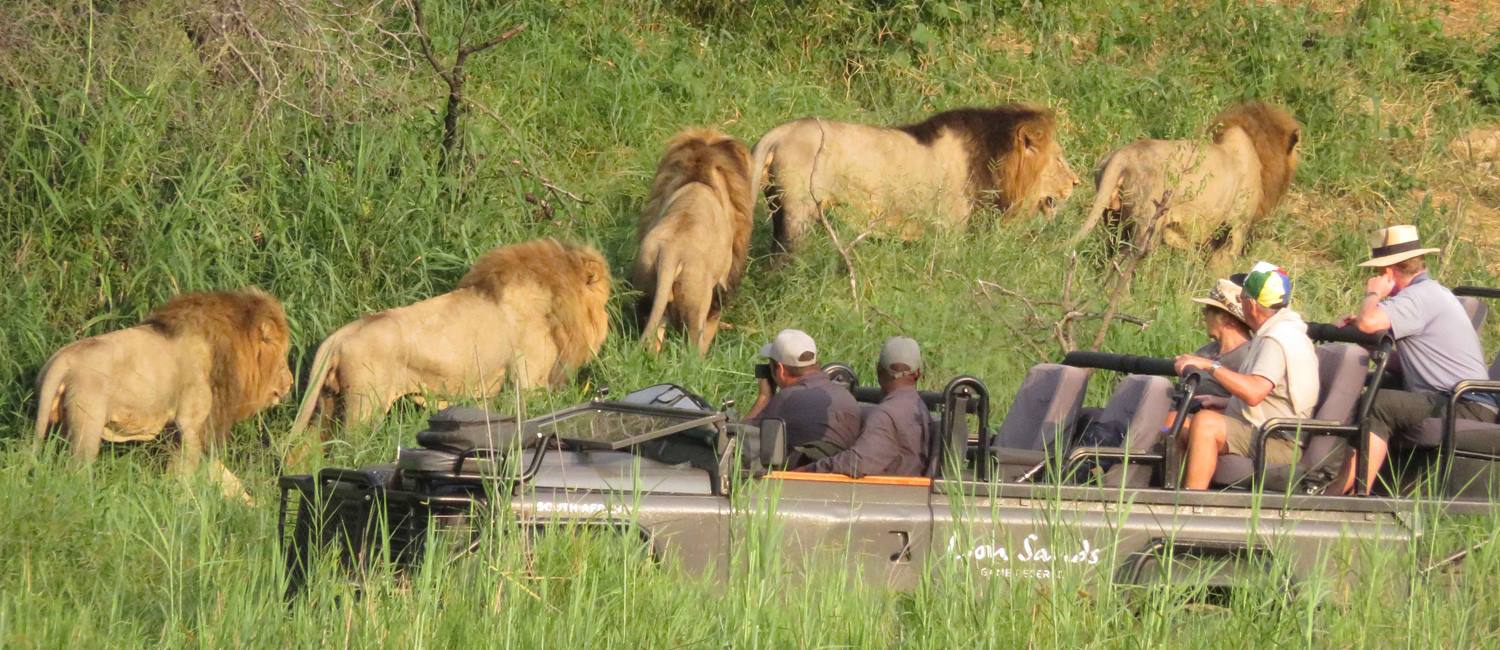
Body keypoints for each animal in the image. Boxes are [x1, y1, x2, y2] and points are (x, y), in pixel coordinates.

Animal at [33, 289, 293, 499]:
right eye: (283, 358)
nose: (290, 383)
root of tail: (61, 360)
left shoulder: (175, 431)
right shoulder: (191, 422)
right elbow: (187, 469)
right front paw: (184, 501)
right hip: (87, 424)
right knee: (77, 468)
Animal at [290, 239, 611, 441]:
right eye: (604, 300)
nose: (610, 315)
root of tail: (338, 336)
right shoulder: (528, 380)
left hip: (326, 405)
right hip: (365, 406)